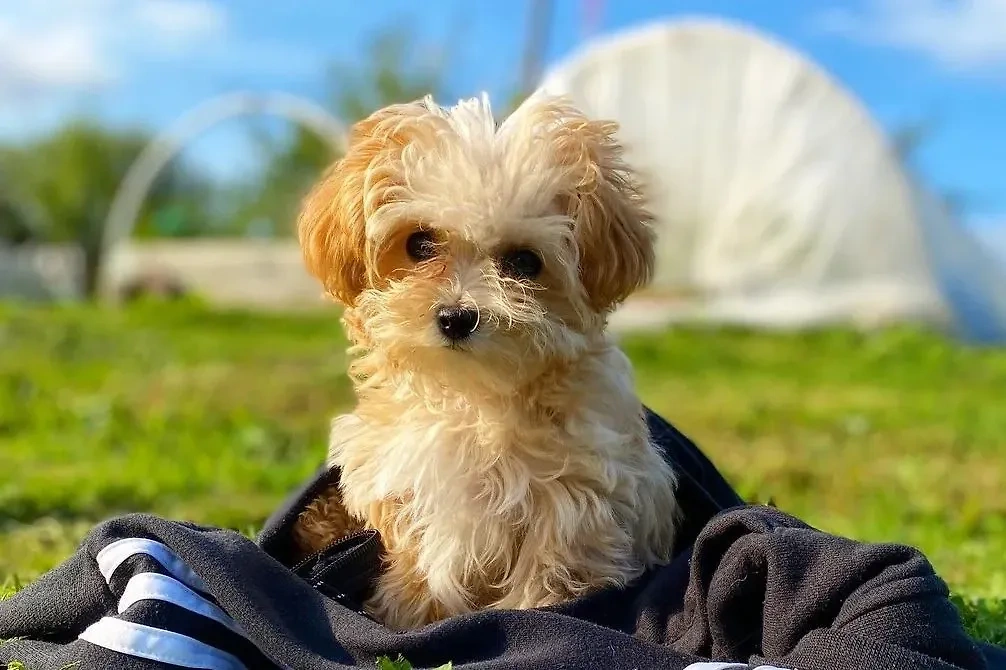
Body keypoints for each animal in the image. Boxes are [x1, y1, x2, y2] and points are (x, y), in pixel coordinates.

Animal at [293, 91, 680, 627]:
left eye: (524, 262)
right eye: (419, 243)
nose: (457, 316)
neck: (472, 396)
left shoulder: (577, 493)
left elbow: (550, 569)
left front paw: (536, 612)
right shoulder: (401, 479)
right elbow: (418, 561)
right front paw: (409, 614)